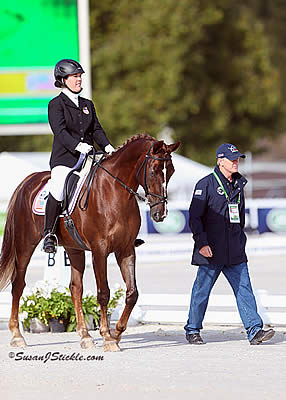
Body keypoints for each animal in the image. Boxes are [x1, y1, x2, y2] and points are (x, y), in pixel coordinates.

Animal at [0, 134, 179, 350]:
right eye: (153, 170)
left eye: (171, 171)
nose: (160, 214)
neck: (114, 191)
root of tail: (29, 180)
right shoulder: (99, 251)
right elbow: (103, 293)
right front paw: (108, 337)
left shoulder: (126, 250)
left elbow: (132, 293)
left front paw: (117, 333)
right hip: (25, 244)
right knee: (18, 284)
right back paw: (17, 336)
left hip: (73, 248)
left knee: (75, 288)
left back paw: (85, 336)